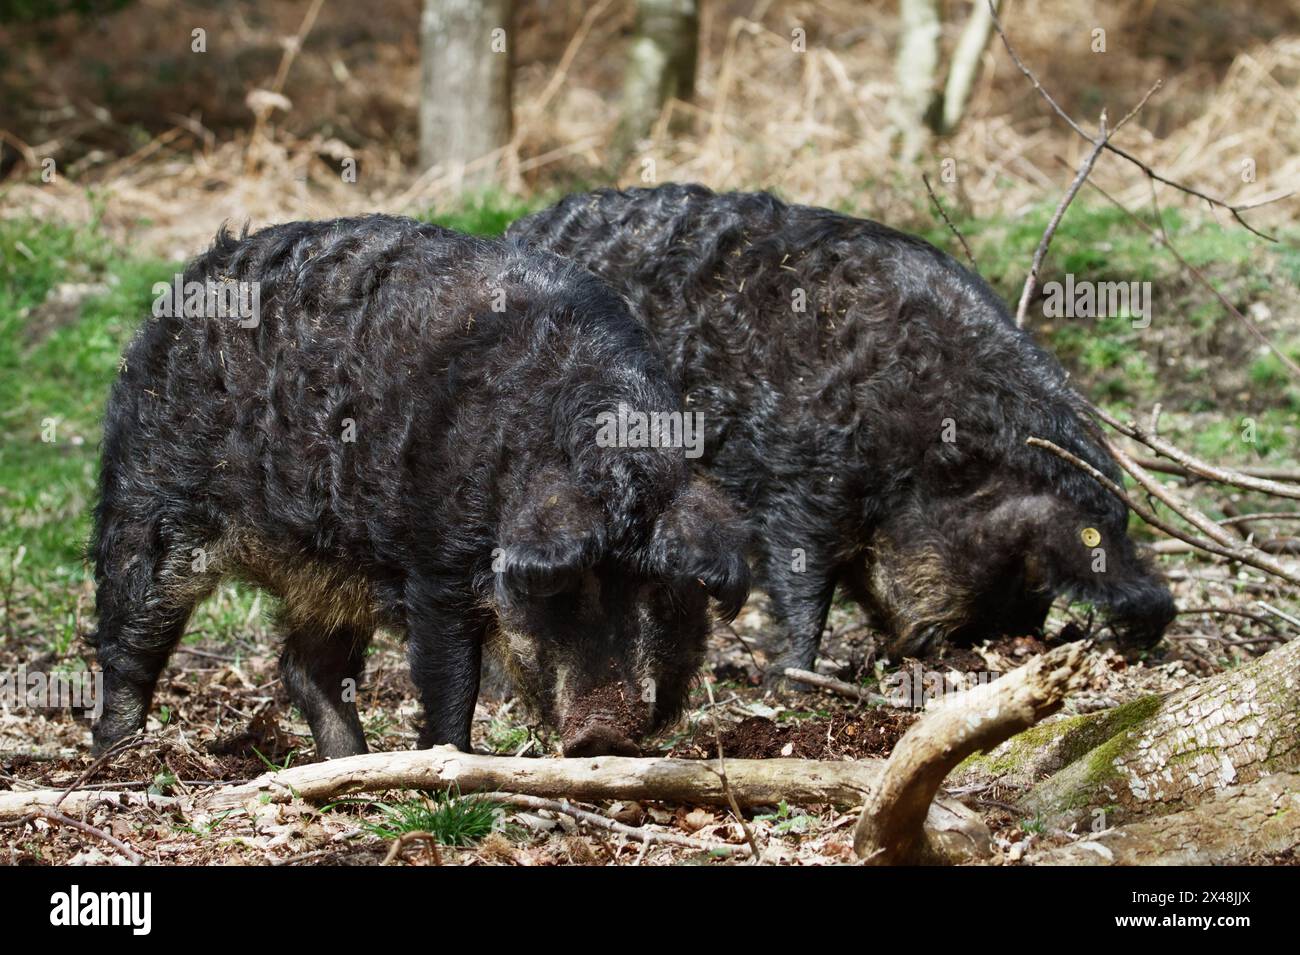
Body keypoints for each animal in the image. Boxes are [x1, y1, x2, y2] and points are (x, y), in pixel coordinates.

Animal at [89, 213, 743, 758]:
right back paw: (117, 759)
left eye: (662, 593)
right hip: (150, 496)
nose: (603, 733)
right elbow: (450, 677)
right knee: (129, 637)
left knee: (306, 666)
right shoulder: (437, 564)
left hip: (332, 562)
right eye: (564, 587)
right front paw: (451, 764)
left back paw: (349, 763)